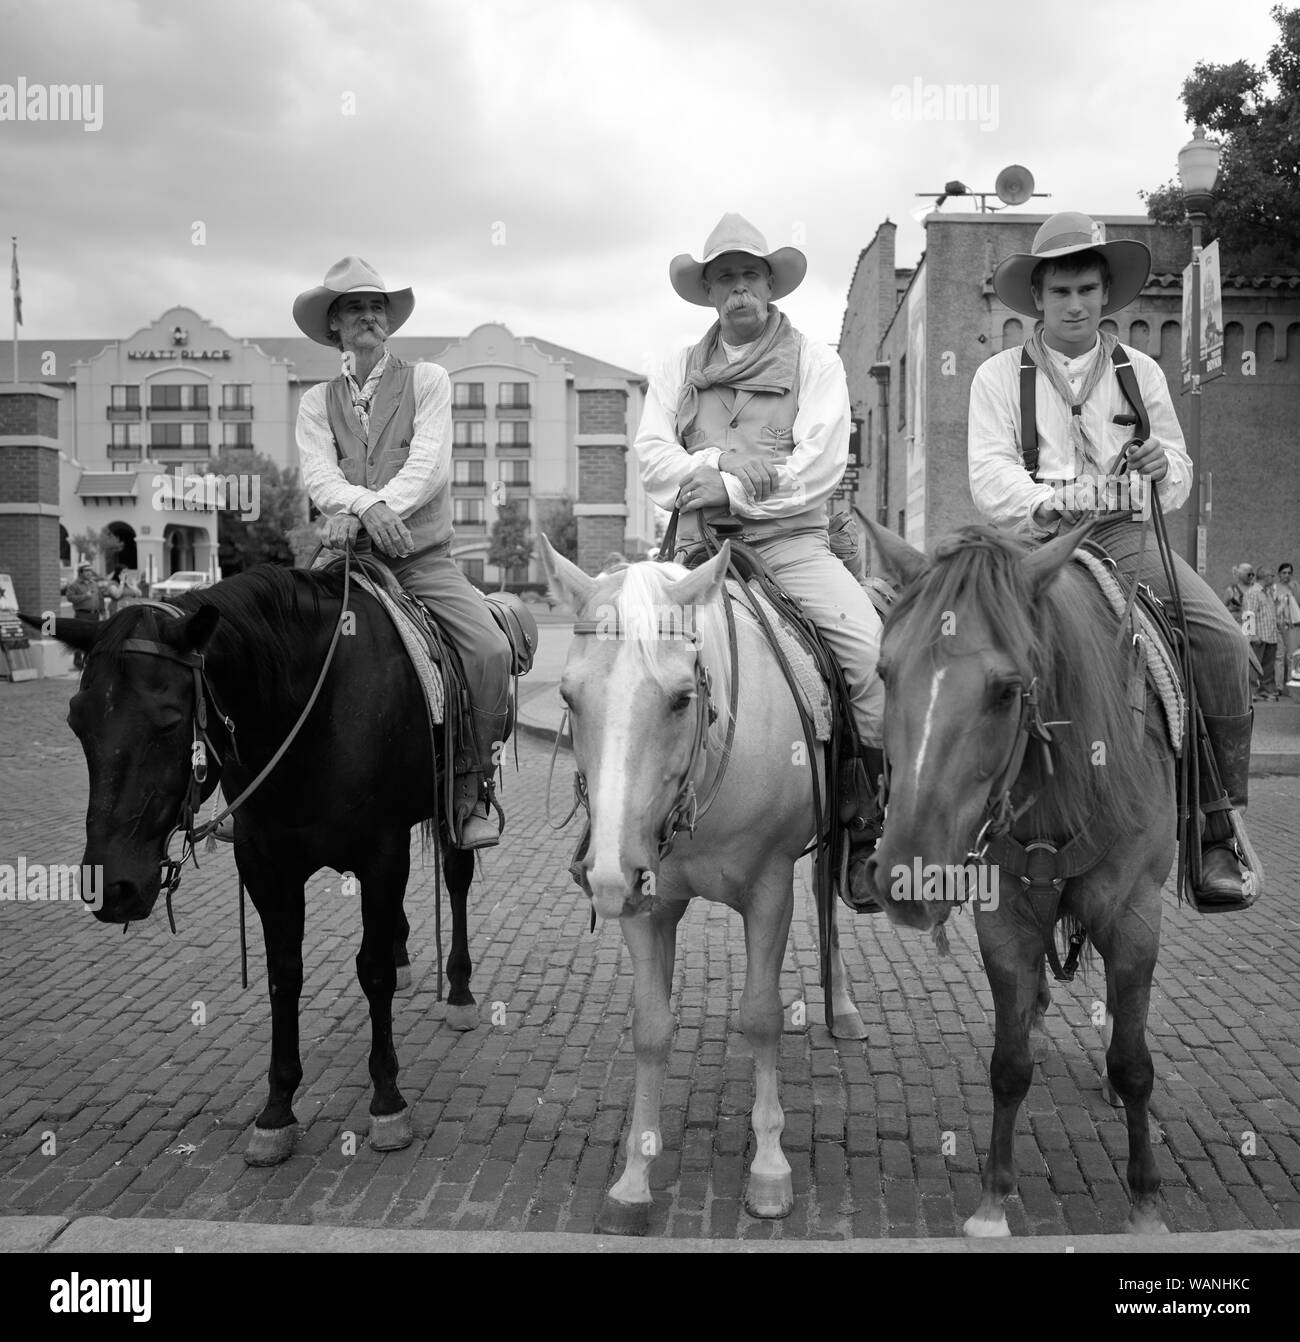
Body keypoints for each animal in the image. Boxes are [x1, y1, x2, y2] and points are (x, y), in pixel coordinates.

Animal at [36, 563, 482, 1164]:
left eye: (168, 721)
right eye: (77, 723)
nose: (113, 886)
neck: (312, 710)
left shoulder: (381, 853)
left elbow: (373, 974)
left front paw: (387, 1100)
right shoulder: (265, 865)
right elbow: (283, 975)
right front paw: (277, 1110)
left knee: (456, 880)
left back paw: (459, 992)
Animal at [536, 536, 863, 1234]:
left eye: (682, 698)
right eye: (570, 699)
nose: (605, 876)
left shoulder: (769, 889)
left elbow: (762, 1016)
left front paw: (769, 1168)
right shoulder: (647, 903)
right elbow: (651, 1027)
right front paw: (634, 1178)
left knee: (825, 898)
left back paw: (843, 1007)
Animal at [869, 523, 1169, 1234]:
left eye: (1006, 690)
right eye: (885, 672)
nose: (906, 878)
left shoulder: (1136, 918)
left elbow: (1134, 1063)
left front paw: (1145, 1200)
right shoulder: (1004, 920)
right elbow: (1008, 1066)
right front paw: (992, 1200)